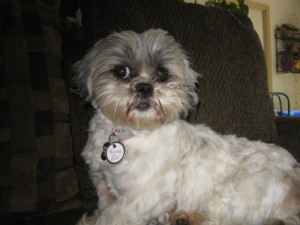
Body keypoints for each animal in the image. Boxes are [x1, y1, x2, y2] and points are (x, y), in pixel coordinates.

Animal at [74, 28, 300, 225]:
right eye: (121, 71)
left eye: (162, 74)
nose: (145, 87)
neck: (130, 132)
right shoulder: (103, 185)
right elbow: (104, 207)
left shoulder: (147, 195)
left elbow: (111, 216)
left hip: (237, 191)